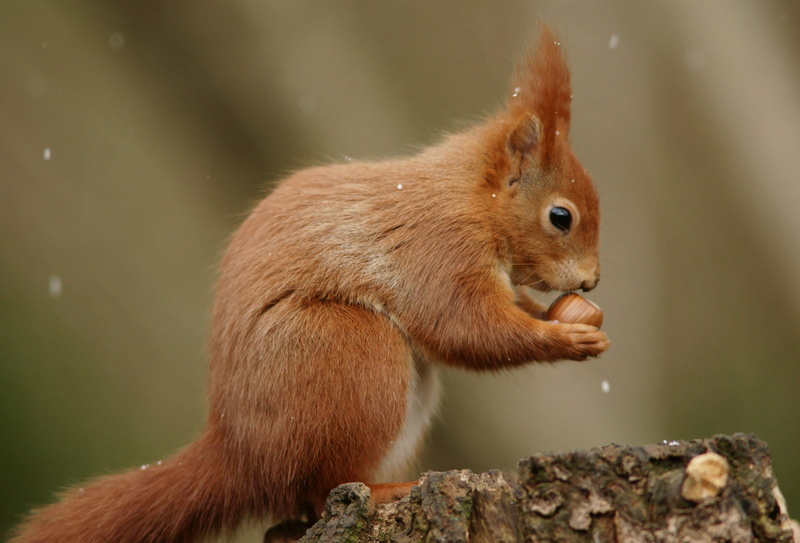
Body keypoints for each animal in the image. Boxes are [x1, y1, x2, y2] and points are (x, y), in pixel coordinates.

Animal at [11, 26, 609, 543]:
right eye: (561, 217)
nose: (592, 281)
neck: (474, 199)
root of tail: (239, 454)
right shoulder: (440, 249)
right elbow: (466, 328)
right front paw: (566, 337)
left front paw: (565, 316)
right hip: (350, 353)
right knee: (324, 486)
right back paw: (386, 490)